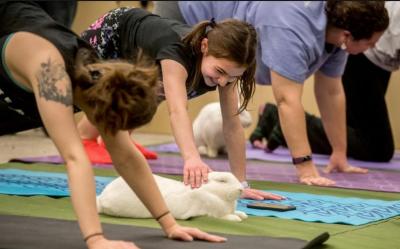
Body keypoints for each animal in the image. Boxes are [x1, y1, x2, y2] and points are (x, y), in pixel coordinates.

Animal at [96, 171, 247, 222]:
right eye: (222, 181)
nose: (240, 189)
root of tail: (102, 198)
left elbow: (238, 213)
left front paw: (243, 215)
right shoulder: (212, 213)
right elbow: (226, 217)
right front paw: (236, 219)